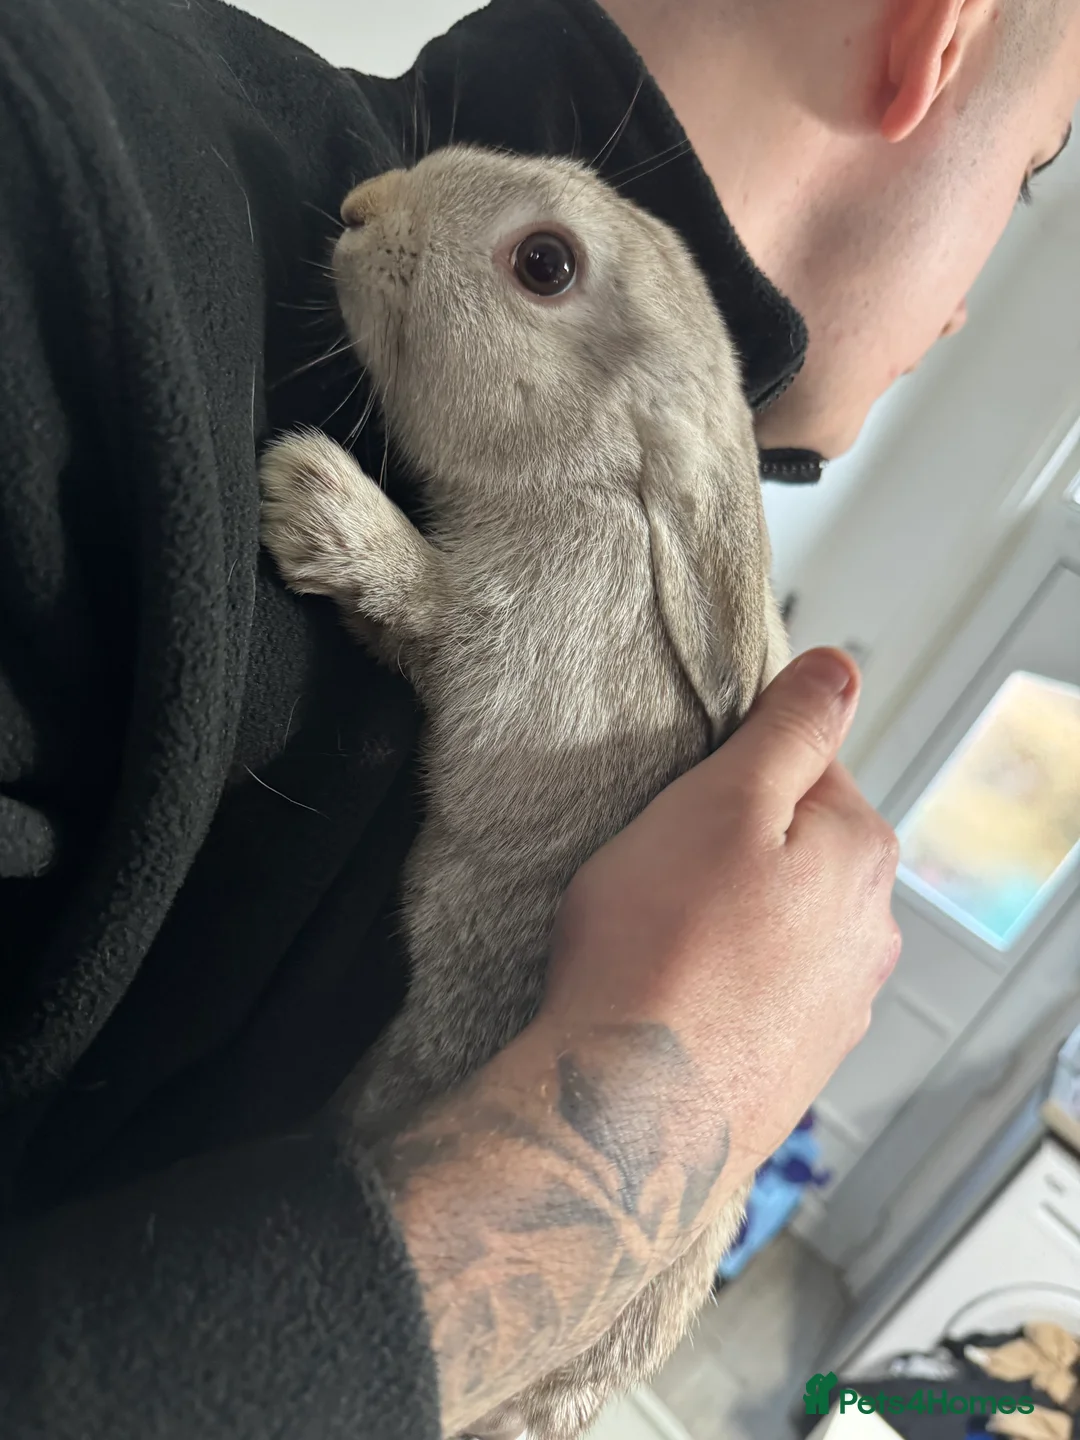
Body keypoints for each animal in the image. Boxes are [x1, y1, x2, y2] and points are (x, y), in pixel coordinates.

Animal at [258, 143, 790, 1440]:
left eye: (544, 264)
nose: (361, 211)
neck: (600, 477)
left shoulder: (515, 639)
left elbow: (424, 608)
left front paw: (305, 494)